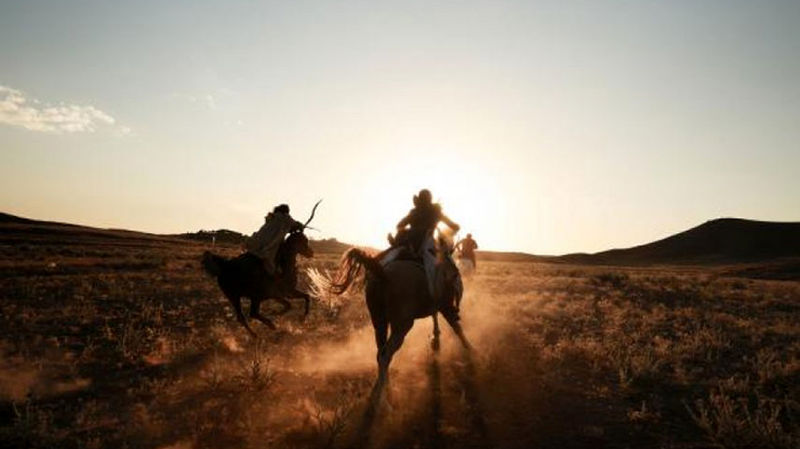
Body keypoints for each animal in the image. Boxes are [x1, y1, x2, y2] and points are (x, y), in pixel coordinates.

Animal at [202, 201, 320, 334]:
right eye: (303, 241)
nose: (311, 253)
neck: (285, 266)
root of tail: (223, 266)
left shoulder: (288, 292)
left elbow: (306, 297)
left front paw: (302, 318)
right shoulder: (277, 293)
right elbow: (289, 305)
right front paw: (276, 314)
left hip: (236, 297)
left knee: (245, 316)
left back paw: (259, 332)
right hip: (247, 296)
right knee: (250, 314)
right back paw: (265, 329)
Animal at [328, 236, 472, 394]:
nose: (455, 272)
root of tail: (382, 274)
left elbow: (439, 319)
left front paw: (436, 339)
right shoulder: (445, 306)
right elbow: (456, 327)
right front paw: (470, 350)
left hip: (379, 322)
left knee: (380, 353)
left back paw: (385, 385)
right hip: (402, 326)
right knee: (385, 355)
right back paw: (380, 394)